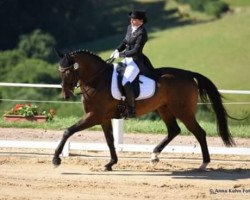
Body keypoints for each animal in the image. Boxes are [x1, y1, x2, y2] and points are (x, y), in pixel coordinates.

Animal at [52, 48, 234, 170]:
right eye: (59, 72)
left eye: (67, 72)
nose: (65, 95)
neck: (97, 79)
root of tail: (189, 74)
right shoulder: (103, 118)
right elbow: (110, 140)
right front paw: (110, 163)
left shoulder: (94, 116)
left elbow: (68, 131)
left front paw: (56, 160)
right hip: (164, 109)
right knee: (174, 130)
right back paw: (154, 156)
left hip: (184, 112)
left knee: (199, 133)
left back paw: (204, 163)